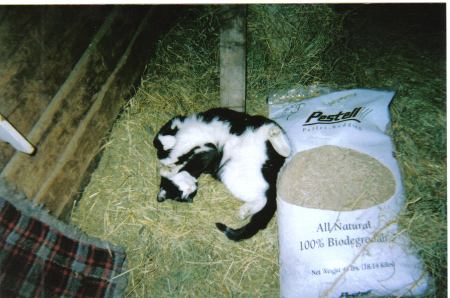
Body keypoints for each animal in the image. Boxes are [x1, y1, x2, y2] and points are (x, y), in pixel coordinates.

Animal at [153, 108, 290, 241]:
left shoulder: (177, 123)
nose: (192, 186)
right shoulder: (208, 155)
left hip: (259, 122)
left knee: (282, 142)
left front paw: (168, 165)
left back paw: (276, 136)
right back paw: (245, 211)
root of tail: (271, 166)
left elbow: (159, 140)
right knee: (263, 197)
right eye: (183, 195)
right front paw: (170, 168)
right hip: (233, 174)